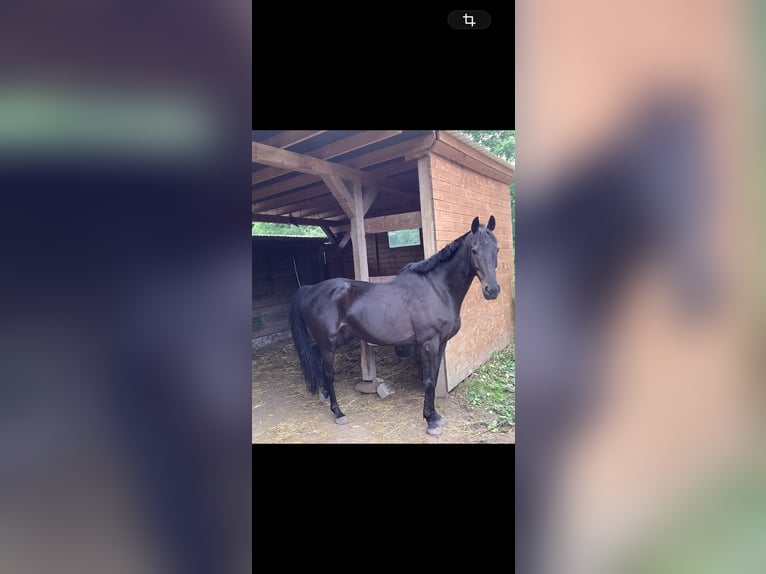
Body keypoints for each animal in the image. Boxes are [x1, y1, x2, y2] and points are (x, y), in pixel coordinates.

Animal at [289, 215, 501, 436]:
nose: (492, 290)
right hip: (328, 343)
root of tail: (310, 289)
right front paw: (430, 421)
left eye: (497, 249)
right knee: (329, 373)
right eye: (474, 250)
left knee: (315, 354)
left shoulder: (441, 343)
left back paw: (322, 394)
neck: (437, 289)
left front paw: (435, 416)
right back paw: (338, 412)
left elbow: (433, 378)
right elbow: (428, 381)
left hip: (340, 337)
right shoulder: (428, 344)